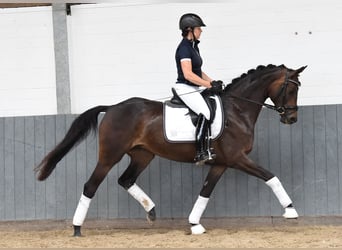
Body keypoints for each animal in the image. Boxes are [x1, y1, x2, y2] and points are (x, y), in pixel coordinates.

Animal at [35, 63, 308, 235]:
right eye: (292, 88)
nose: (292, 119)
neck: (237, 111)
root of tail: (112, 107)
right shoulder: (237, 158)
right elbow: (271, 176)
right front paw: (291, 211)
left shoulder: (221, 163)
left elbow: (205, 192)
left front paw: (195, 225)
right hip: (109, 156)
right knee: (90, 186)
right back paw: (77, 228)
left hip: (143, 155)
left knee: (126, 180)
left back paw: (152, 211)